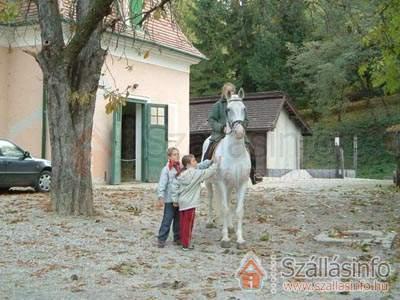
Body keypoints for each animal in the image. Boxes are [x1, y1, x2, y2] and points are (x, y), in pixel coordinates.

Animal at [202, 88, 252, 248]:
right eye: (228, 109)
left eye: (244, 108)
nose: (239, 132)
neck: (235, 154)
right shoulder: (222, 183)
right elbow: (224, 208)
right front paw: (225, 239)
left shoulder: (242, 184)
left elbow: (239, 210)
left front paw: (240, 239)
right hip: (210, 183)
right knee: (211, 198)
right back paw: (209, 222)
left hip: (230, 185)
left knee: (229, 202)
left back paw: (230, 227)